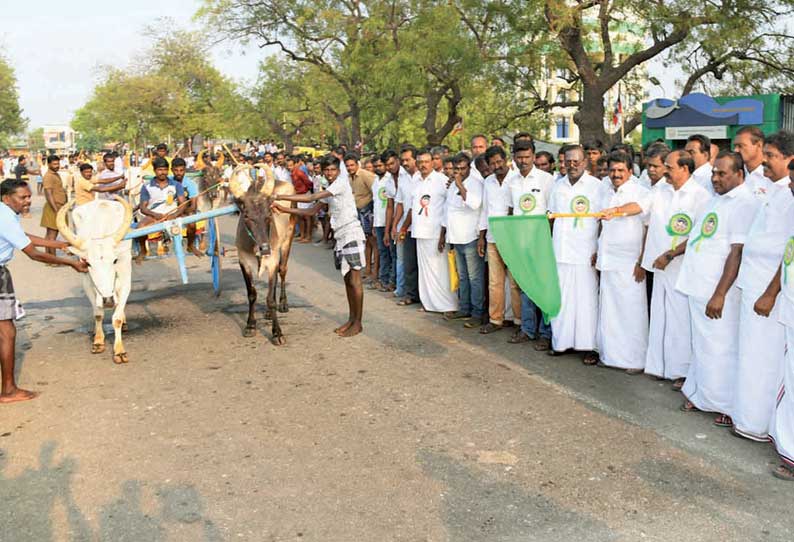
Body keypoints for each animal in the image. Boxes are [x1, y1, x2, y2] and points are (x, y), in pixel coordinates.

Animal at [56, 198, 133, 364]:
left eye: (115, 260)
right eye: (88, 263)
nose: (108, 300)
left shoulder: (125, 280)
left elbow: (116, 318)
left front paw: (119, 351)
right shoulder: (87, 282)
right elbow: (98, 314)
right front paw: (98, 341)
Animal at [227, 164, 296, 346]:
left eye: (268, 215)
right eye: (247, 215)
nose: (264, 248)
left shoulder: (272, 261)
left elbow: (270, 300)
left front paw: (277, 333)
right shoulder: (243, 262)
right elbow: (252, 294)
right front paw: (250, 326)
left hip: (287, 240)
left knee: (282, 271)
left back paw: (283, 304)